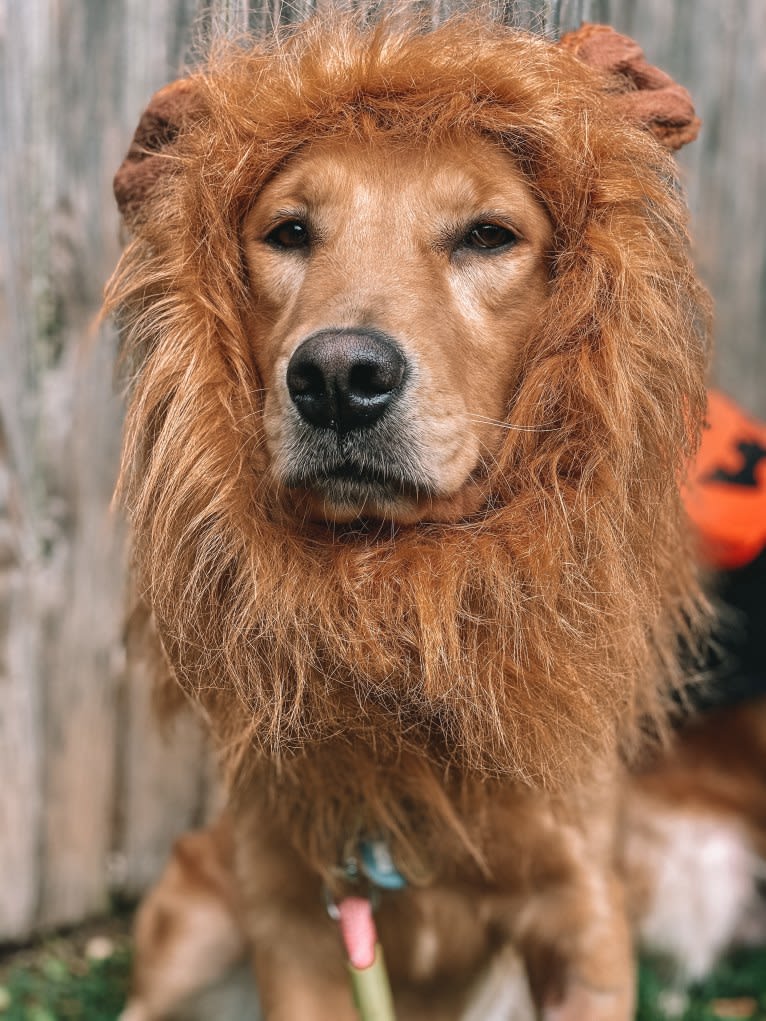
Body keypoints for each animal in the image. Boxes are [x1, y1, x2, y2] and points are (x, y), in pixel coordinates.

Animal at [106, 15, 719, 1021]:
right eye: (289, 232)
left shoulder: (581, 913)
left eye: (488, 234)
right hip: (193, 919)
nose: (337, 377)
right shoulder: (297, 913)